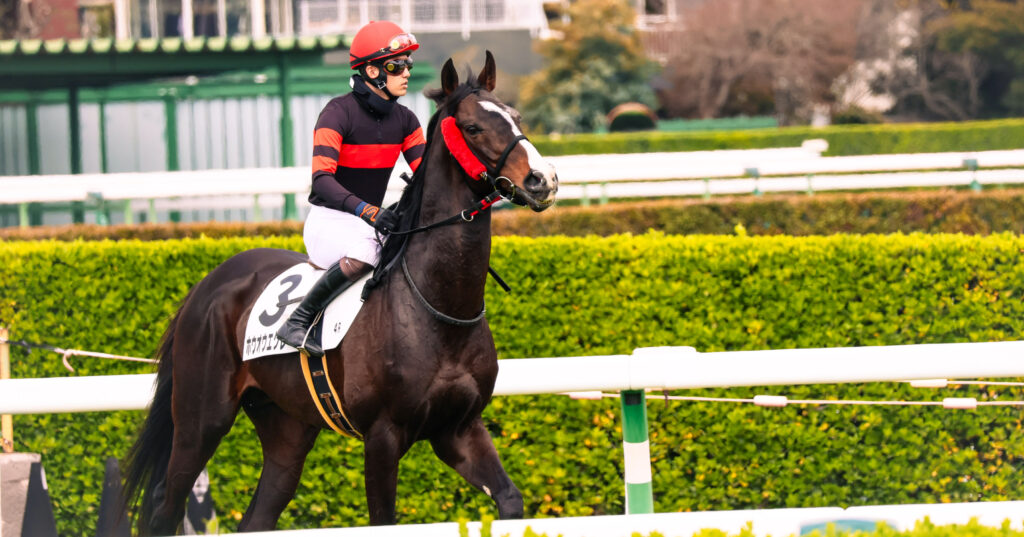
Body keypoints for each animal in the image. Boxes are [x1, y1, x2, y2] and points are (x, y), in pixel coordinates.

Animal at [122, 51, 558, 535]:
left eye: (516, 116)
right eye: (473, 127)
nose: (543, 179)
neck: (438, 308)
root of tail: (205, 285)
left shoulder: (457, 429)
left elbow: (510, 499)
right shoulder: (382, 436)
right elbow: (383, 518)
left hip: (286, 428)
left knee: (258, 513)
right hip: (202, 418)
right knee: (166, 503)